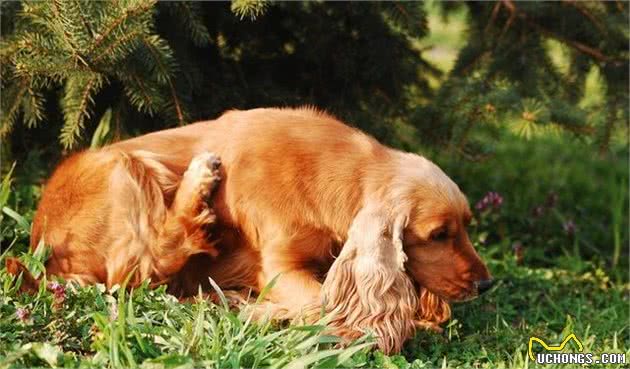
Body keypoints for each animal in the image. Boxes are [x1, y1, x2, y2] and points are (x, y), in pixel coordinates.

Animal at [7, 105, 496, 350]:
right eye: (438, 235)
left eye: (466, 226)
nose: (486, 284)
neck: (336, 173)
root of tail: (44, 246)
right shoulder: (278, 266)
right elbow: (322, 307)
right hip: (125, 167)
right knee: (146, 263)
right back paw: (200, 180)